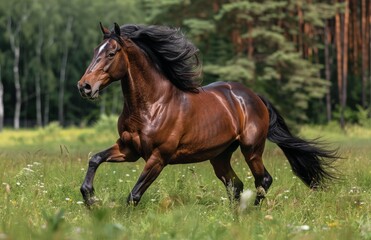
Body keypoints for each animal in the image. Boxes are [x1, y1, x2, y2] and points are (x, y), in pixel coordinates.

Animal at [77, 23, 338, 206]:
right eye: (95, 51)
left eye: (112, 53)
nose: (85, 87)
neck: (152, 105)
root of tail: (253, 96)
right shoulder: (129, 150)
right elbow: (95, 159)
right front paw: (90, 198)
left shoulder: (158, 157)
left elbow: (134, 195)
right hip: (220, 156)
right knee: (236, 185)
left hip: (252, 148)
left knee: (263, 180)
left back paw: (252, 212)